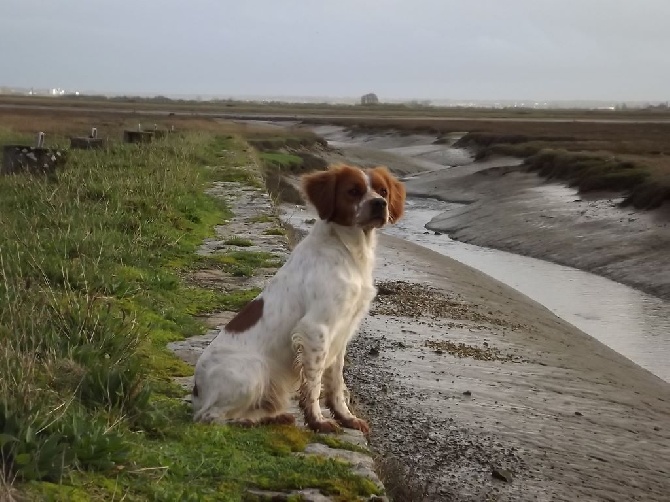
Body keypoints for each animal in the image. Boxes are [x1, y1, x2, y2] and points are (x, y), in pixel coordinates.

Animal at [192, 164, 406, 432]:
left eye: (383, 190)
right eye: (353, 191)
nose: (379, 203)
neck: (346, 250)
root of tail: (196, 387)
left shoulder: (342, 333)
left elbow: (336, 383)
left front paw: (345, 417)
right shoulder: (315, 329)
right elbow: (313, 385)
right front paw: (318, 421)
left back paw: (272, 417)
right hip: (254, 370)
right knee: (211, 417)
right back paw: (252, 420)